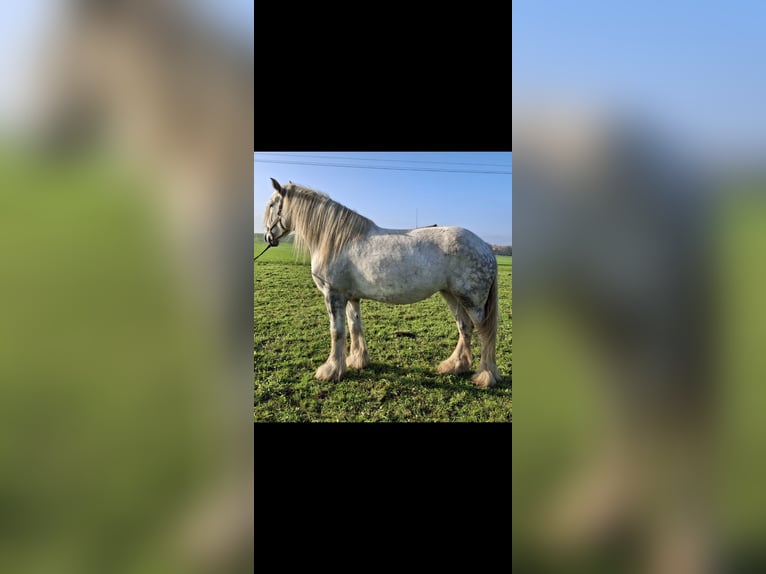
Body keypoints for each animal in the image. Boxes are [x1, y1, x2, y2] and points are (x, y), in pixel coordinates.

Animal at [264, 178, 504, 390]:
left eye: (271, 205)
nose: (268, 237)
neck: (337, 241)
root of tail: (485, 246)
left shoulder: (333, 295)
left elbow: (337, 331)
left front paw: (331, 371)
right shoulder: (351, 297)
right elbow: (355, 326)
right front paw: (357, 361)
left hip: (472, 301)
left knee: (485, 333)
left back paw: (485, 376)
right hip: (451, 296)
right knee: (464, 327)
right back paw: (454, 366)